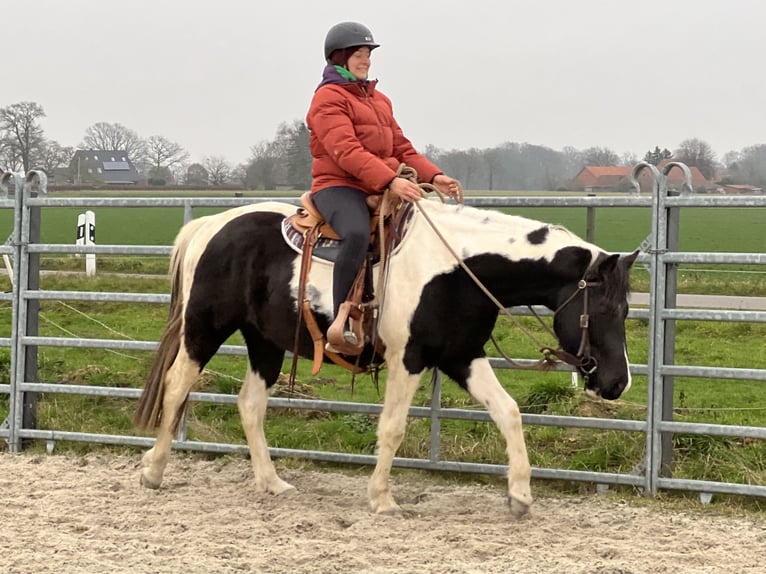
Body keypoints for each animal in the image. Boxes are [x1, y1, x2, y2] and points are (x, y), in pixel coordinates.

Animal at [134, 198, 638, 518]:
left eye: (625, 309)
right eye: (607, 309)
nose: (617, 383)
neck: (458, 269)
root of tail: (209, 225)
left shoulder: (462, 356)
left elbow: (508, 412)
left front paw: (519, 496)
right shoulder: (408, 357)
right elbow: (393, 428)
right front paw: (382, 499)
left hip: (265, 340)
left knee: (250, 404)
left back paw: (272, 483)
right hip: (205, 327)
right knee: (177, 386)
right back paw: (154, 472)